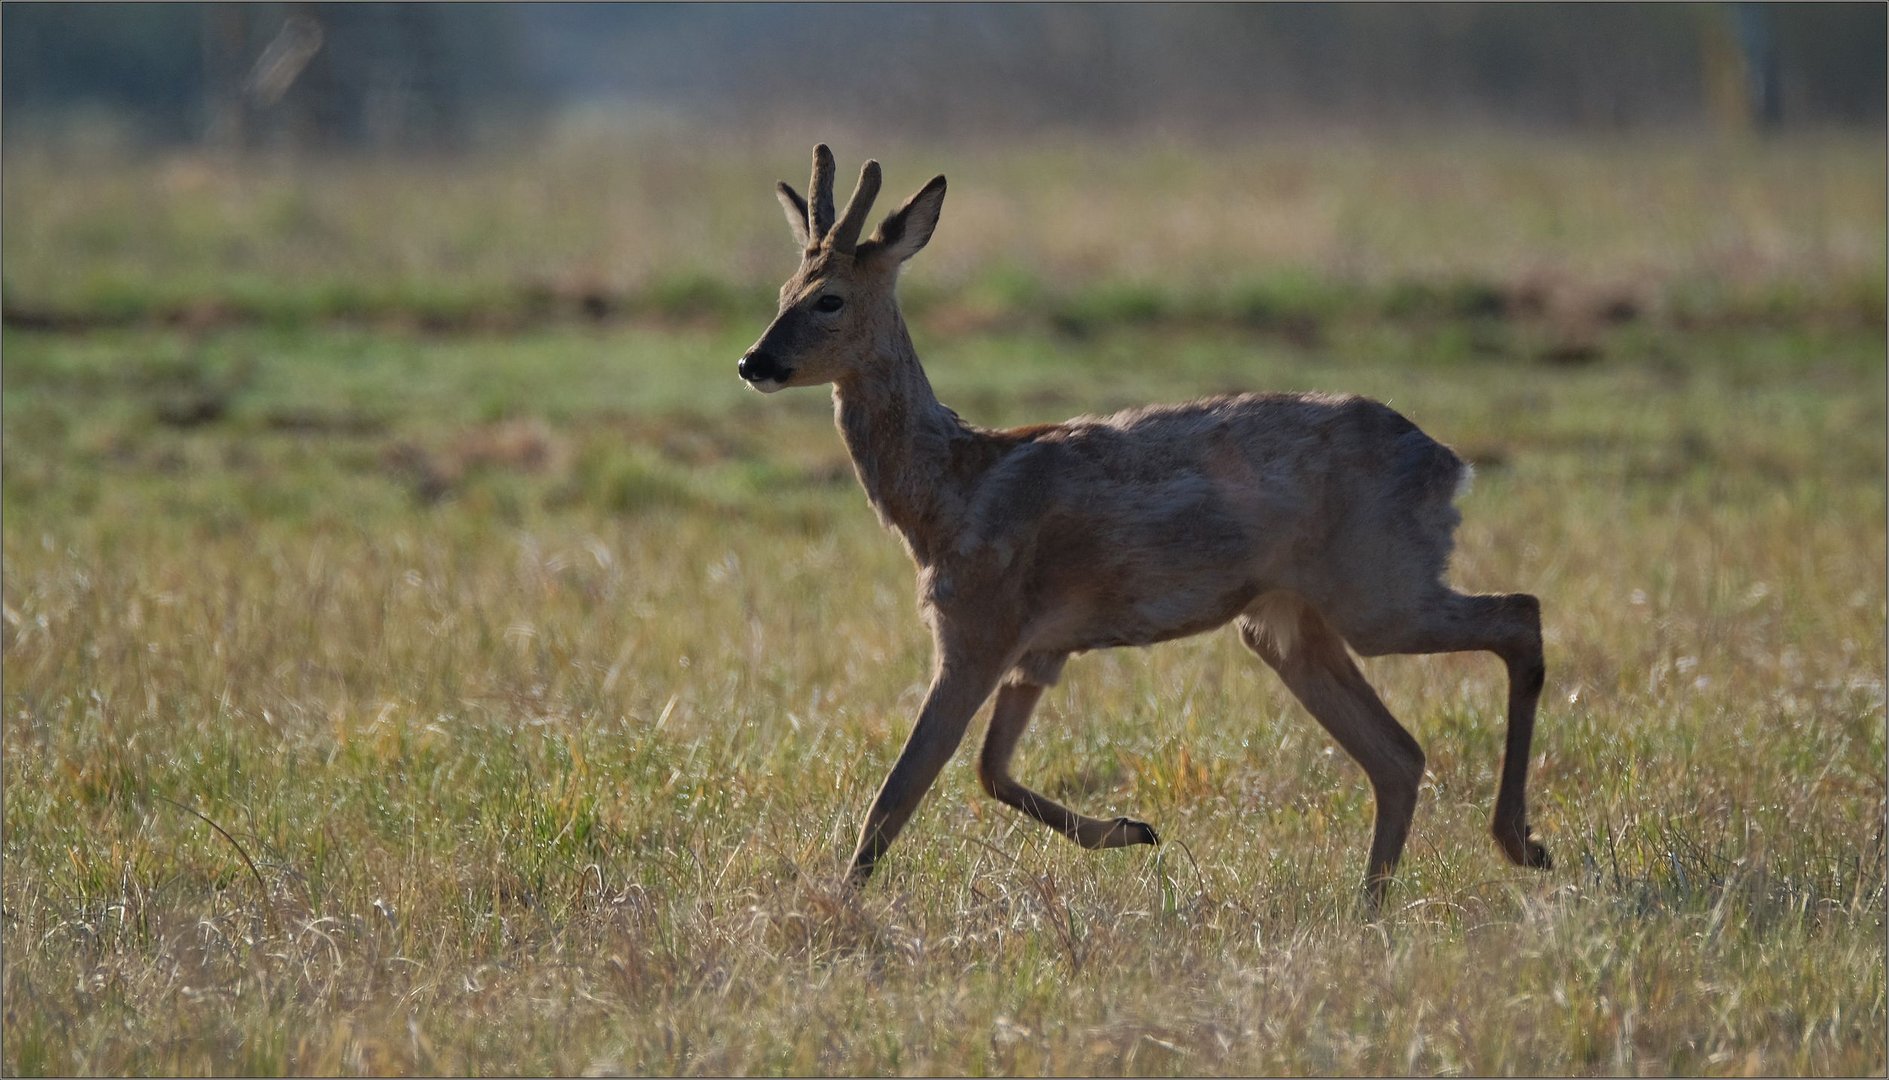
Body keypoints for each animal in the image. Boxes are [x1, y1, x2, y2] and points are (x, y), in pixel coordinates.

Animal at [736, 147, 1548, 910]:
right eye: (779, 294)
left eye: (829, 299)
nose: (753, 361)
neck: (947, 495)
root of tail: (1450, 466)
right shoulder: (1040, 648)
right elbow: (991, 770)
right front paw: (1131, 830)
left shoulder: (977, 627)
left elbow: (898, 793)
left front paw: (840, 908)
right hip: (1287, 622)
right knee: (1399, 754)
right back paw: (1372, 904)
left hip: (1376, 586)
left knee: (1518, 614)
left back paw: (1518, 844)